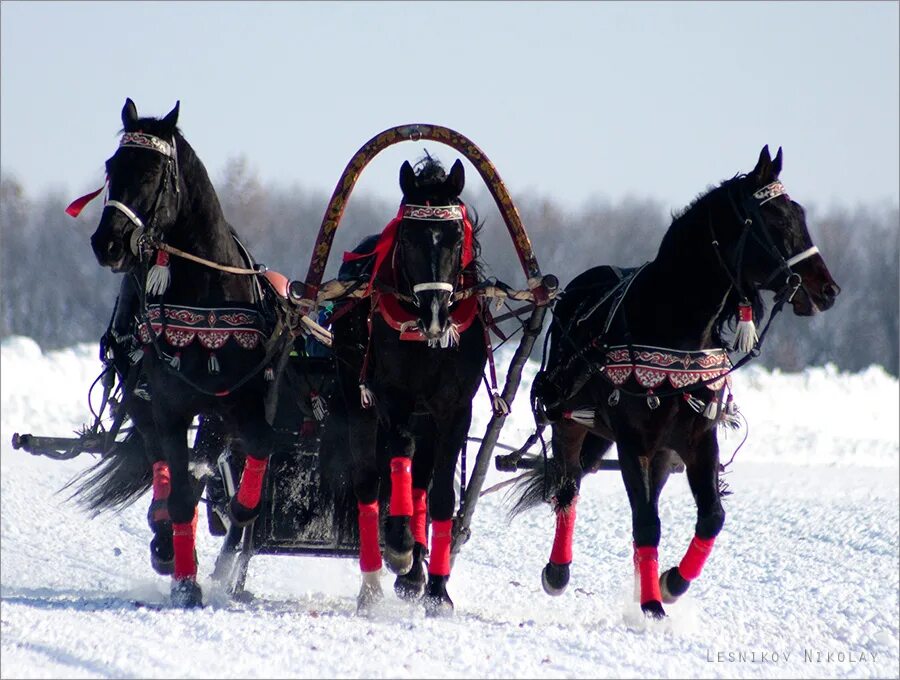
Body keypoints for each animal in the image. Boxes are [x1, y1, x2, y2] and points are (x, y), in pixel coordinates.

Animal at [87, 98, 284, 608]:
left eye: (154, 172)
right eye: (112, 166)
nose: (107, 243)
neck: (205, 297)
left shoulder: (242, 403)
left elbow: (253, 467)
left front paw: (235, 530)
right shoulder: (170, 405)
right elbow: (177, 490)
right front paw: (184, 581)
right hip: (144, 401)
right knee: (163, 467)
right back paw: (166, 541)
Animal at [324, 157, 488, 612]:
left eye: (455, 237)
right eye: (410, 237)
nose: (434, 315)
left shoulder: (455, 409)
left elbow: (441, 495)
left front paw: (436, 589)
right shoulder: (390, 399)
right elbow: (398, 455)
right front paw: (398, 546)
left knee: (420, 481)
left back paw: (415, 573)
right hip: (357, 403)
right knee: (369, 482)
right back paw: (374, 582)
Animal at [510, 146, 840, 620]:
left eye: (799, 212)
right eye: (774, 218)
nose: (827, 289)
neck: (672, 328)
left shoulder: (697, 439)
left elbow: (712, 516)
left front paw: (669, 584)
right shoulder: (634, 443)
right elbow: (646, 522)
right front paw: (652, 606)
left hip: (653, 450)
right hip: (569, 420)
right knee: (568, 485)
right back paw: (558, 571)